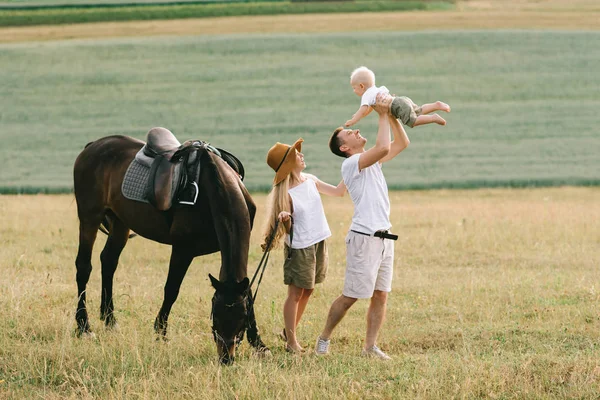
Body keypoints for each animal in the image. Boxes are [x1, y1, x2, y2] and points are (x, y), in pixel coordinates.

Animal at [72, 130, 268, 364]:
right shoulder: (183, 249)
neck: (214, 186)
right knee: (84, 267)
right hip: (89, 217)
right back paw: (84, 326)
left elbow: (248, 293)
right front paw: (160, 332)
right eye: (216, 316)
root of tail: (93, 146)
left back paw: (110, 320)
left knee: (108, 261)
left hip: (120, 222)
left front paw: (259, 344)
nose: (226, 359)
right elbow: (171, 289)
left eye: (241, 320)